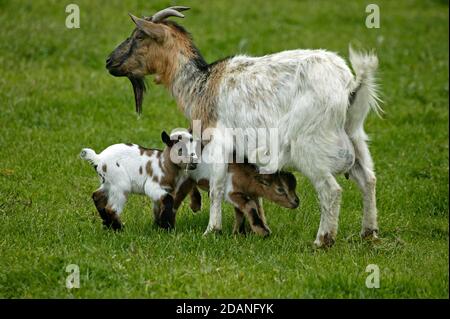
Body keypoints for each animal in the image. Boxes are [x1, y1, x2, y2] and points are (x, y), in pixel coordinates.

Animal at [107, 6, 382, 248]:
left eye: (139, 36)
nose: (109, 61)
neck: (201, 85)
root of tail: (349, 87)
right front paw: (253, 228)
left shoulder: (219, 141)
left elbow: (216, 186)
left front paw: (212, 230)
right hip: (355, 138)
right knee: (368, 179)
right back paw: (369, 234)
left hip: (309, 146)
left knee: (331, 191)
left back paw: (322, 240)